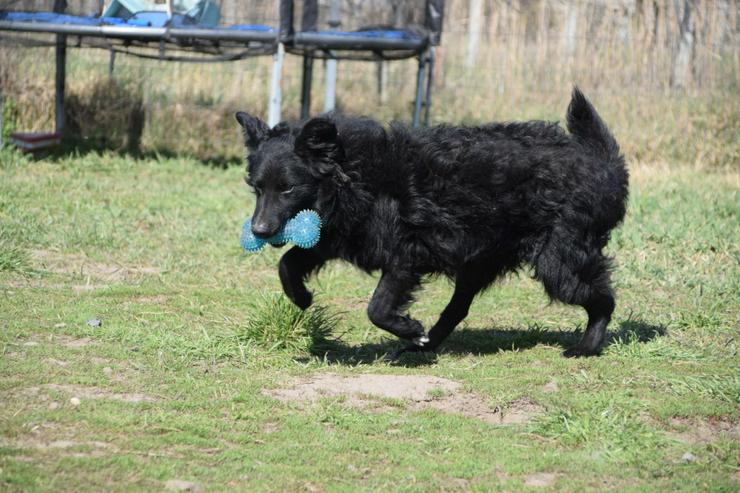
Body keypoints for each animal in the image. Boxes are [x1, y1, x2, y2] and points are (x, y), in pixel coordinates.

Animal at [234, 88, 628, 358]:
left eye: (288, 188)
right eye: (257, 188)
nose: (259, 231)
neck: (354, 175)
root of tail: (601, 163)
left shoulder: (405, 255)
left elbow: (377, 307)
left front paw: (408, 327)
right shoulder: (338, 236)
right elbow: (288, 263)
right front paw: (301, 297)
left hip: (556, 262)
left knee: (604, 299)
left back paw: (587, 346)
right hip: (480, 261)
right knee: (458, 308)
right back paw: (423, 345)